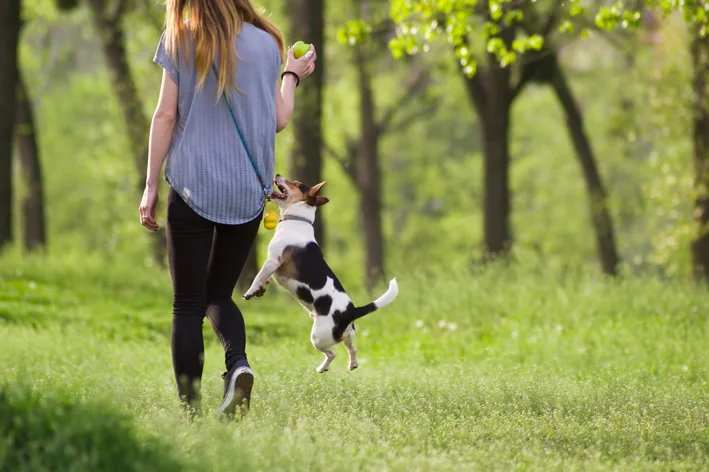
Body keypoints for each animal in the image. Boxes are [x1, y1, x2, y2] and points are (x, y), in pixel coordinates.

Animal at [243, 174, 398, 372]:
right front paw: (261, 288)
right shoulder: (273, 266)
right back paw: (352, 364)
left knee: (332, 353)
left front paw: (250, 291)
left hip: (318, 337)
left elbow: (259, 276)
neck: (298, 219)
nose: (277, 175)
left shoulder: (273, 261)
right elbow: (265, 278)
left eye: (295, 183)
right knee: (352, 349)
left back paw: (322, 368)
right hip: (346, 335)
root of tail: (351, 312)